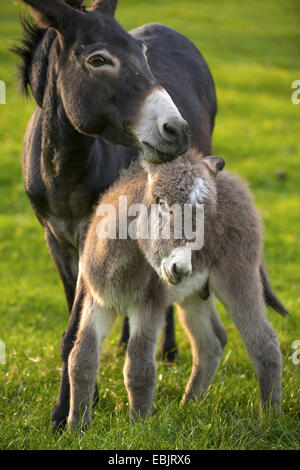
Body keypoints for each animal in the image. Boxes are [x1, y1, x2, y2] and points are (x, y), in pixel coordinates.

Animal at [67, 151, 286, 430]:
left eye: (204, 218)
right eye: (160, 203)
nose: (180, 267)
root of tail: (236, 181)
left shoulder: (149, 304)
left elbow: (139, 366)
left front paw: (139, 427)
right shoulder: (98, 301)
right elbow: (80, 358)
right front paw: (76, 428)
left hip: (238, 277)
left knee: (263, 341)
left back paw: (269, 418)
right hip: (194, 296)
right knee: (211, 342)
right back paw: (190, 405)